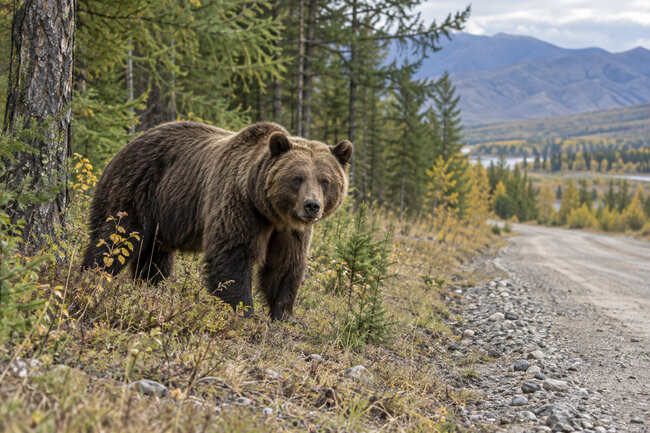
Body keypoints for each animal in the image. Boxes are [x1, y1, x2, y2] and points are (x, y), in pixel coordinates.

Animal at [81, 121, 352, 320]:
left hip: (163, 215)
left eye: (325, 180)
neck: (269, 211)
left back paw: (150, 286)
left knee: (154, 258)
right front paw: (243, 310)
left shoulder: (288, 231)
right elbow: (232, 254)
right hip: (136, 189)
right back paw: (93, 276)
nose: (312, 206)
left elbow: (284, 265)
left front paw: (284, 314)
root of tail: (127, 145)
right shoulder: (239, 204)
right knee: (116, 238)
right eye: (297, 178)